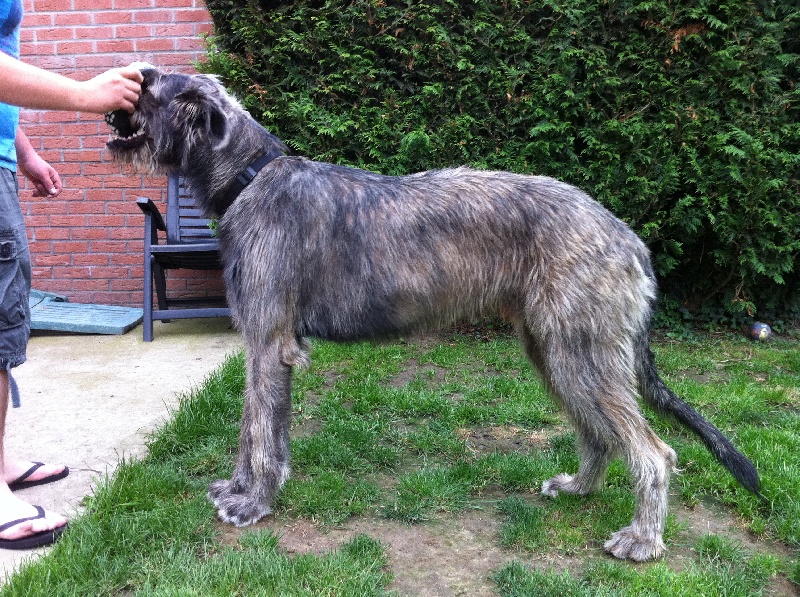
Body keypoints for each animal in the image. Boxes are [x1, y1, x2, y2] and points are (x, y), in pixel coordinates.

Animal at [106, 68, 761, 562]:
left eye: (147, 87)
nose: (117, 104)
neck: (247, 176)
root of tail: (629, 238)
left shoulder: (270, 341)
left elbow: (263, 432)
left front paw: (252, 503)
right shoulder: (261, 342)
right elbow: (251, 427)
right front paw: (238, 488)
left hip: (582, 350)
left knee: (654, 450)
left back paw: (643, 538)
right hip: (555, 349)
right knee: (600, 431)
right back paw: (580, 486)